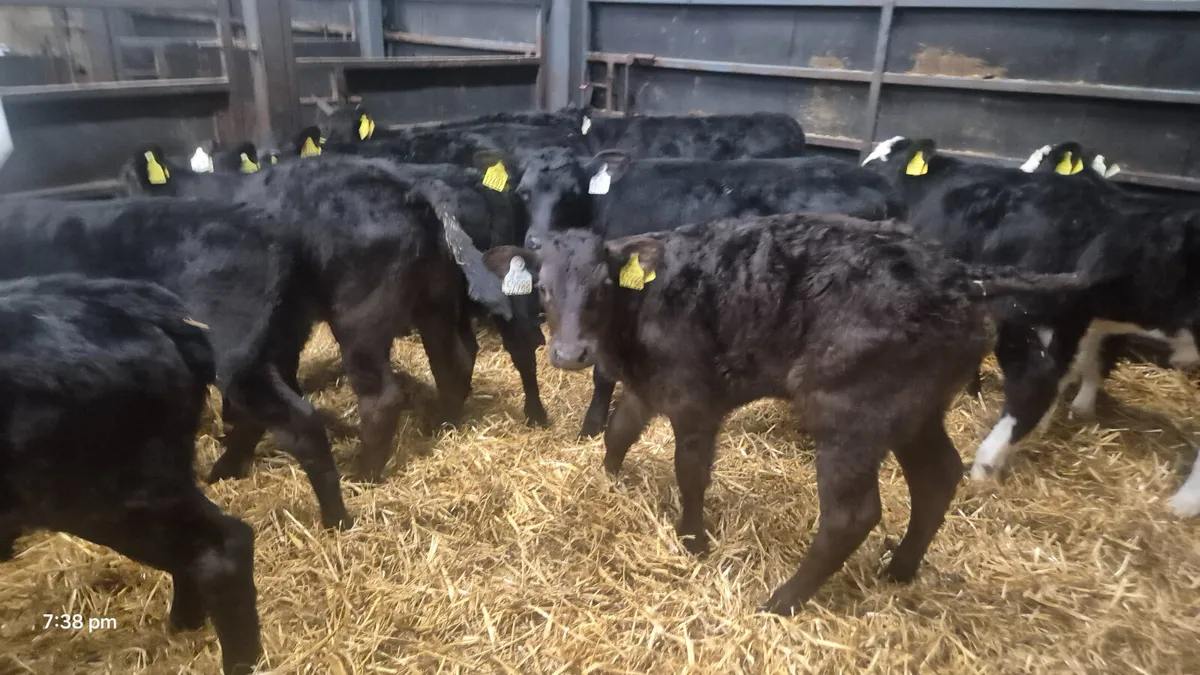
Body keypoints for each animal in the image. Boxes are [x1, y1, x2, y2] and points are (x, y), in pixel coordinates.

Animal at [0, 195, 353, 529]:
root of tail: (276, 231)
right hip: (278, 342)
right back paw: (224, 470)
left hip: (234, 351)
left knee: (300, 423)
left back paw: (336, 519)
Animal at [121, 146, 526, 481]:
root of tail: (410, 187)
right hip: (435, 303)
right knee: (453, 360)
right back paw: (442, 425)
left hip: (359, 318)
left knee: (382, 396)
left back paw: (363, 473)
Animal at [480, 213, 1100, 614]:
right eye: (541, 288)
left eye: (602, 286)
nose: (569, 354)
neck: (639, 312)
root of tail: (961, 274)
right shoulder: (646, 387)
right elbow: (617, 433)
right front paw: (609, 482)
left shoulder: (695, 398)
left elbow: (690, 471)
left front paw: (693, 541)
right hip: (914, 409)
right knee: (937, 477)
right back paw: (900, 568)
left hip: (850, 412)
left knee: (852, 514)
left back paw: (783, 600)